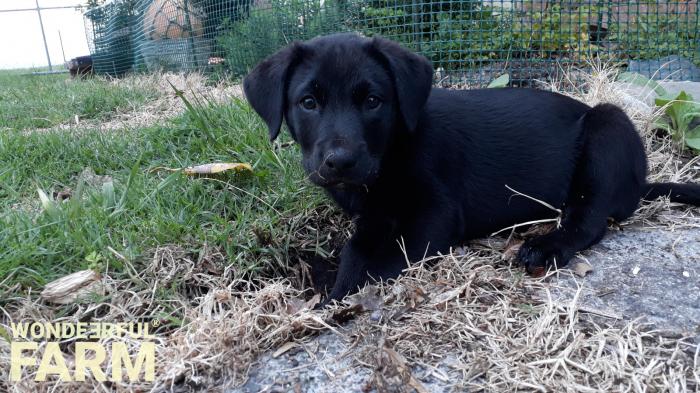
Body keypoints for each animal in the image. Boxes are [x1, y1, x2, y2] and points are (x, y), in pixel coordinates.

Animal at [243, 34, 700, 304]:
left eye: (373, 101)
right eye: (308, 102)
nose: (339, 162)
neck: (394, 146)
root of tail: (641, 182)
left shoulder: (435, 216)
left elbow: (365, 258)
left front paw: (336, 294)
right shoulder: (374, 213)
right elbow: (359, 240)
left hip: (609, 125)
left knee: (589, 218)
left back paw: (547, 245)